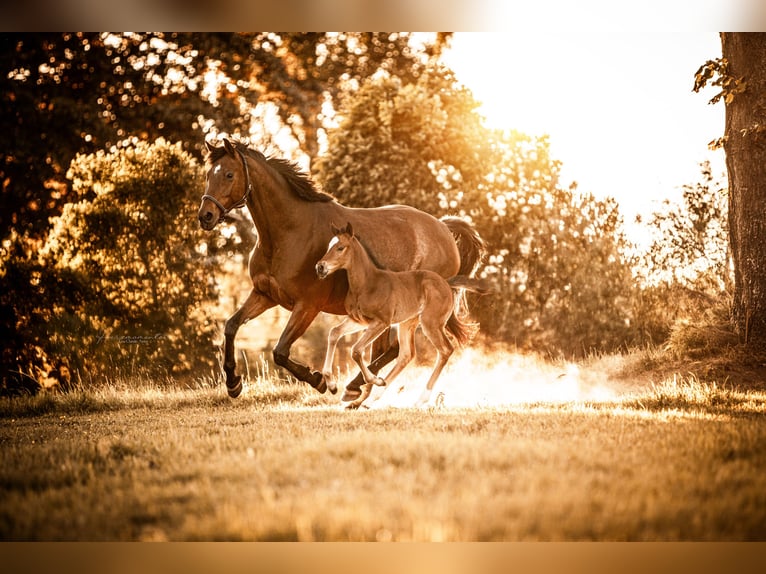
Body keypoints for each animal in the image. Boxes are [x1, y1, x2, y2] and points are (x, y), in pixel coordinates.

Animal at [316, 223, 490, 408]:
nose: (320, 267)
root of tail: (446, 283)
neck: (367, 284)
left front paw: (373, 380)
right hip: (407, 323)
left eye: (340, 247)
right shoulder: (359, 320)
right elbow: (334, 333)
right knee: (407, 354)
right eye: (329, 246)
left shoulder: (382, 322)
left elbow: (356, 350)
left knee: (445, 350)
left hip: (430, 323)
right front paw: (332, 385)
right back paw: (373, 398)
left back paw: (419, 399)